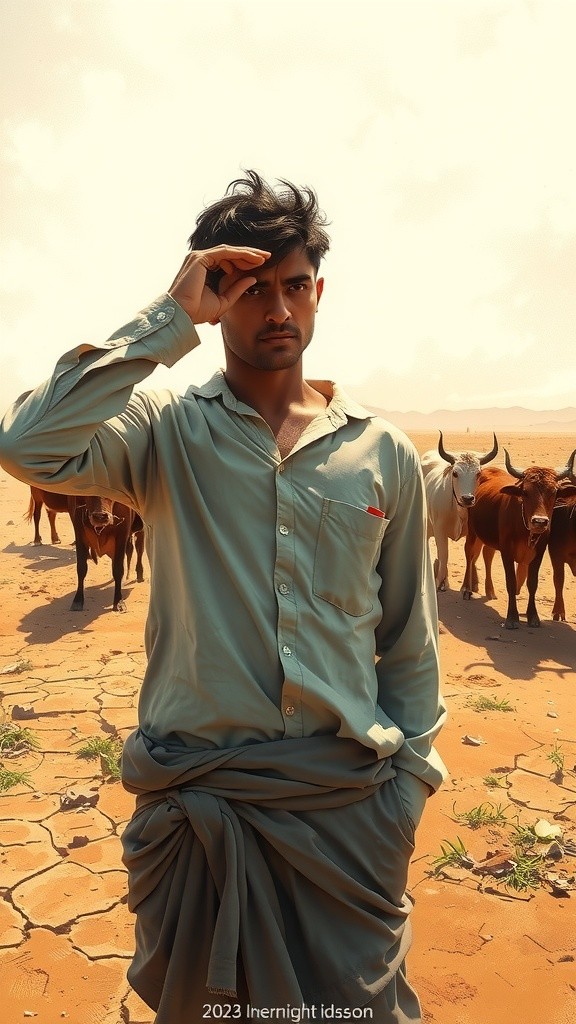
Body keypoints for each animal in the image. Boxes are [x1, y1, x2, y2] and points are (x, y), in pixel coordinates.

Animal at [421, 431, 499, 590]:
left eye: (478, 474)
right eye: (455, 473)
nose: (467, 498)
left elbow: (473, 556)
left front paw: (469, 585)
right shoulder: (440, 531)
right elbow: (444, 556)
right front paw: (438, 583)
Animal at [461, 449, 576, 628]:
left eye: (554, 492)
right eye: (525, 492)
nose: (540, 521)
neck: (525, 530)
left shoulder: (538, 554)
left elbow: (532, 584)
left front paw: (533, 616)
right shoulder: (507, 552)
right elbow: (511, 582)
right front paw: (512, 617)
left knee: (487, 555)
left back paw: (490, 591)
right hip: (472, 532)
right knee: (470, 555)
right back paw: (467, 589)